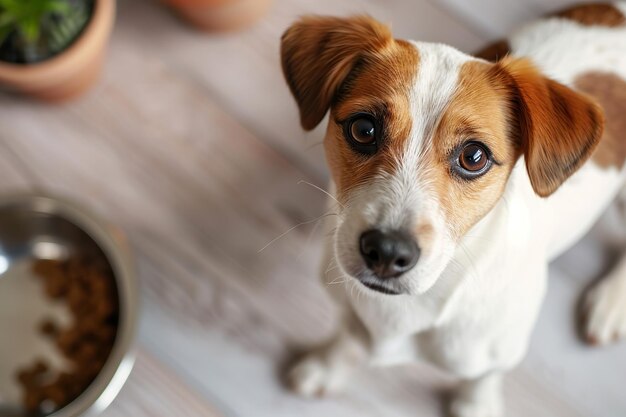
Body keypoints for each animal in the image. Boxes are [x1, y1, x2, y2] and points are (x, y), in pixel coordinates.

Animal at [280, 4, 624, 416]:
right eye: (364, 129)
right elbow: (346, 336)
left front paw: (476, 405)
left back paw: (611, 301)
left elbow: (482, 380)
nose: (387, 251)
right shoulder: (348, 312)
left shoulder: (497, 354)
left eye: (474, 156)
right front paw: (327, 365)